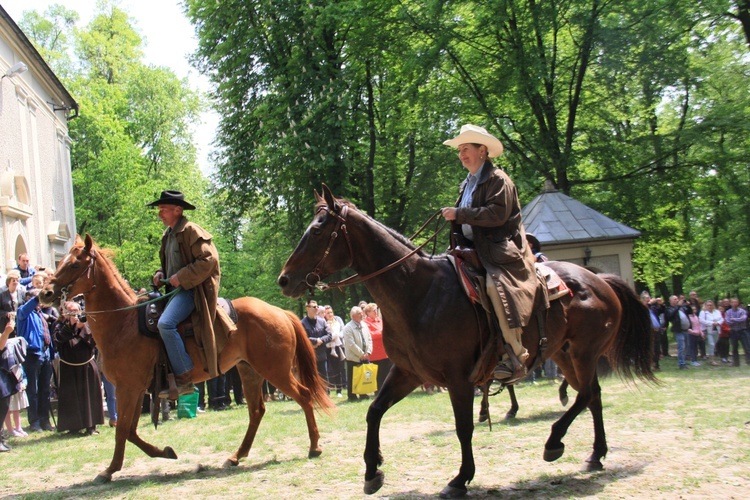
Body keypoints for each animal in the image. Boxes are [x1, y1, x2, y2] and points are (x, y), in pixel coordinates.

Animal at [39, 236, 334, 482]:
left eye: (74, 263)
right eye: (62, 261)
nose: (45, 293)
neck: (123, 323)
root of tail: (280, 312)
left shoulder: (128, 388)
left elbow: (122, 429)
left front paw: (109, 470)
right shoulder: (136, 390)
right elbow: (130, 430)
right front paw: (166, 452)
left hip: (276, 371)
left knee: (303, 396)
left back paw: (314, 446)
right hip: (249, 371)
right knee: (257, 411)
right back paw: (236, 456)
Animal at [280, 186, 656, 498]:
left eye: (317, 230)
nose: (284, 279)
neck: (417, 291)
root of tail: (600, 280)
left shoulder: (459, 378)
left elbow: (463, 427)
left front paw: (460, 479)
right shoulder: (409, 372)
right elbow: (374, 412)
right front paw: (373, 471)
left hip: (583, 352)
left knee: (587, 394)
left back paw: (555, 441)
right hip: (565, 354)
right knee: (591, 395)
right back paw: (595, 453)